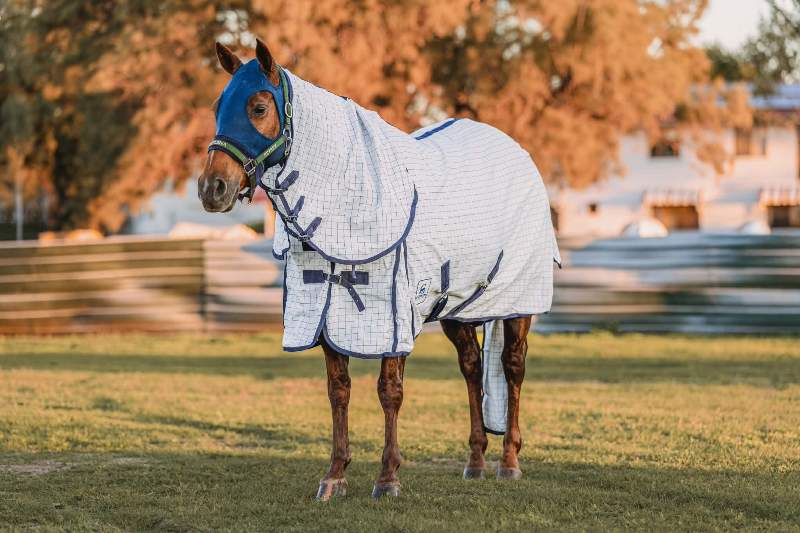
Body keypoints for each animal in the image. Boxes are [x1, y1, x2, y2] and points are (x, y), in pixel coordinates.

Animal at [198, 39, 560, 500]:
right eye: (217, 106)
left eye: (259, 107)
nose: (212, 188)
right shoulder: (325, 313)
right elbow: (338, 391)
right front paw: (335, 474)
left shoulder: (392, 315)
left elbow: (390, 392)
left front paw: (388, 477)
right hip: (456, 309)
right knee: (472, 367)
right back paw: (476, 460)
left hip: (517, 303)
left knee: (512, 368)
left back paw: (509, 461)